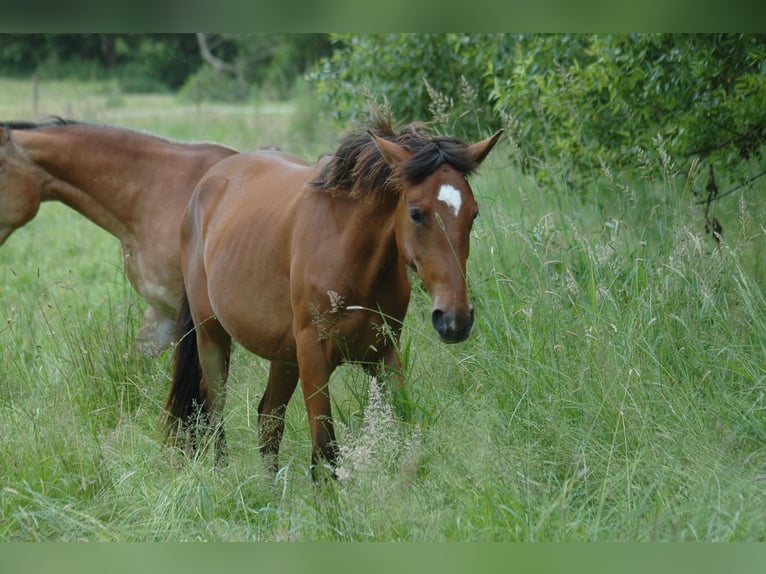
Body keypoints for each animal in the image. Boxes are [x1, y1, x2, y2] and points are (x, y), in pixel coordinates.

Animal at [163, 114, 502, 476]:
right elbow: (325, 452)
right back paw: (222, 473)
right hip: (212, 336)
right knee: (214, 409)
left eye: (473, 213)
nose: (455, 319)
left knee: (268, 419)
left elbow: (400, 426)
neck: (350, 254)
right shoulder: (314, 356)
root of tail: (206, 187)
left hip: (283, 356)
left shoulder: (384, 353)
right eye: (416, 213)